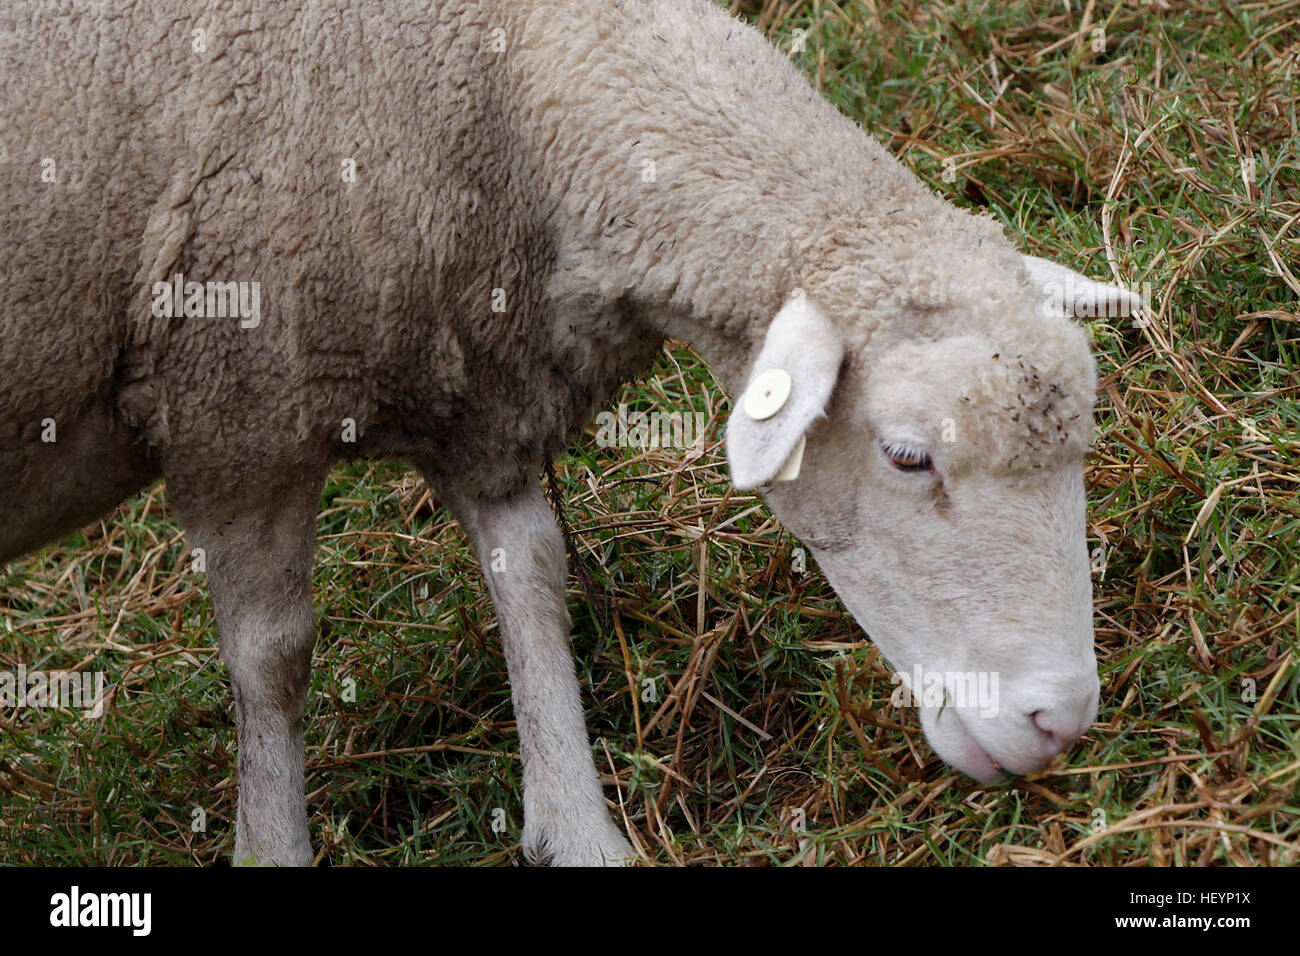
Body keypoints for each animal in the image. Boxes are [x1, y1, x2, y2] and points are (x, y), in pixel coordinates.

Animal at [0, 0, 1138, 868]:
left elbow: (532, 577)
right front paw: (271, 844)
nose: (1063, 721)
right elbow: (272, 659)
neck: (499, 77)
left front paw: (577, 827)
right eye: (908, 455)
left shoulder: (483, 386)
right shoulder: (237, 415)